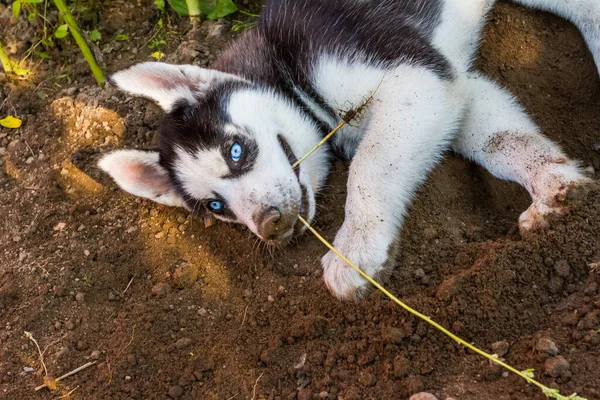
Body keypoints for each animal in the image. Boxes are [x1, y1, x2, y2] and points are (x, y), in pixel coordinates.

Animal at [99, 0, 600, 298]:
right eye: (216, 207)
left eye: (235, 151)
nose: (269, 226)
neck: (285, 70)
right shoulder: (449, 88)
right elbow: (501, 140)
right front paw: (553, 187)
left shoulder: (414, 78)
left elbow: (368, 168)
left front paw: (355, 248)